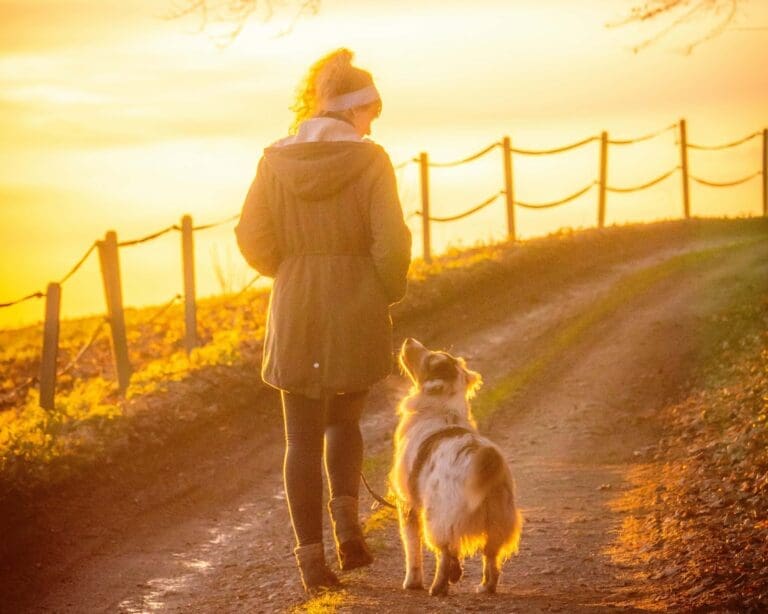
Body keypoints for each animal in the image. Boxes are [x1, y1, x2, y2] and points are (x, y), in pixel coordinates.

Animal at [390, 340, 520, 600]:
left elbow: (412, 547)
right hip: (497, 521)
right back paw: (484, 587)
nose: (409, 340)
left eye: (430, 360)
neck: (442, 409)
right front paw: (456, 573)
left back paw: (438, 587)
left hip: (437, 517)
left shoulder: (407, 504)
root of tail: (486, 456)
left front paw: (412, 582)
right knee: (490, 558)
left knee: (444, 552)